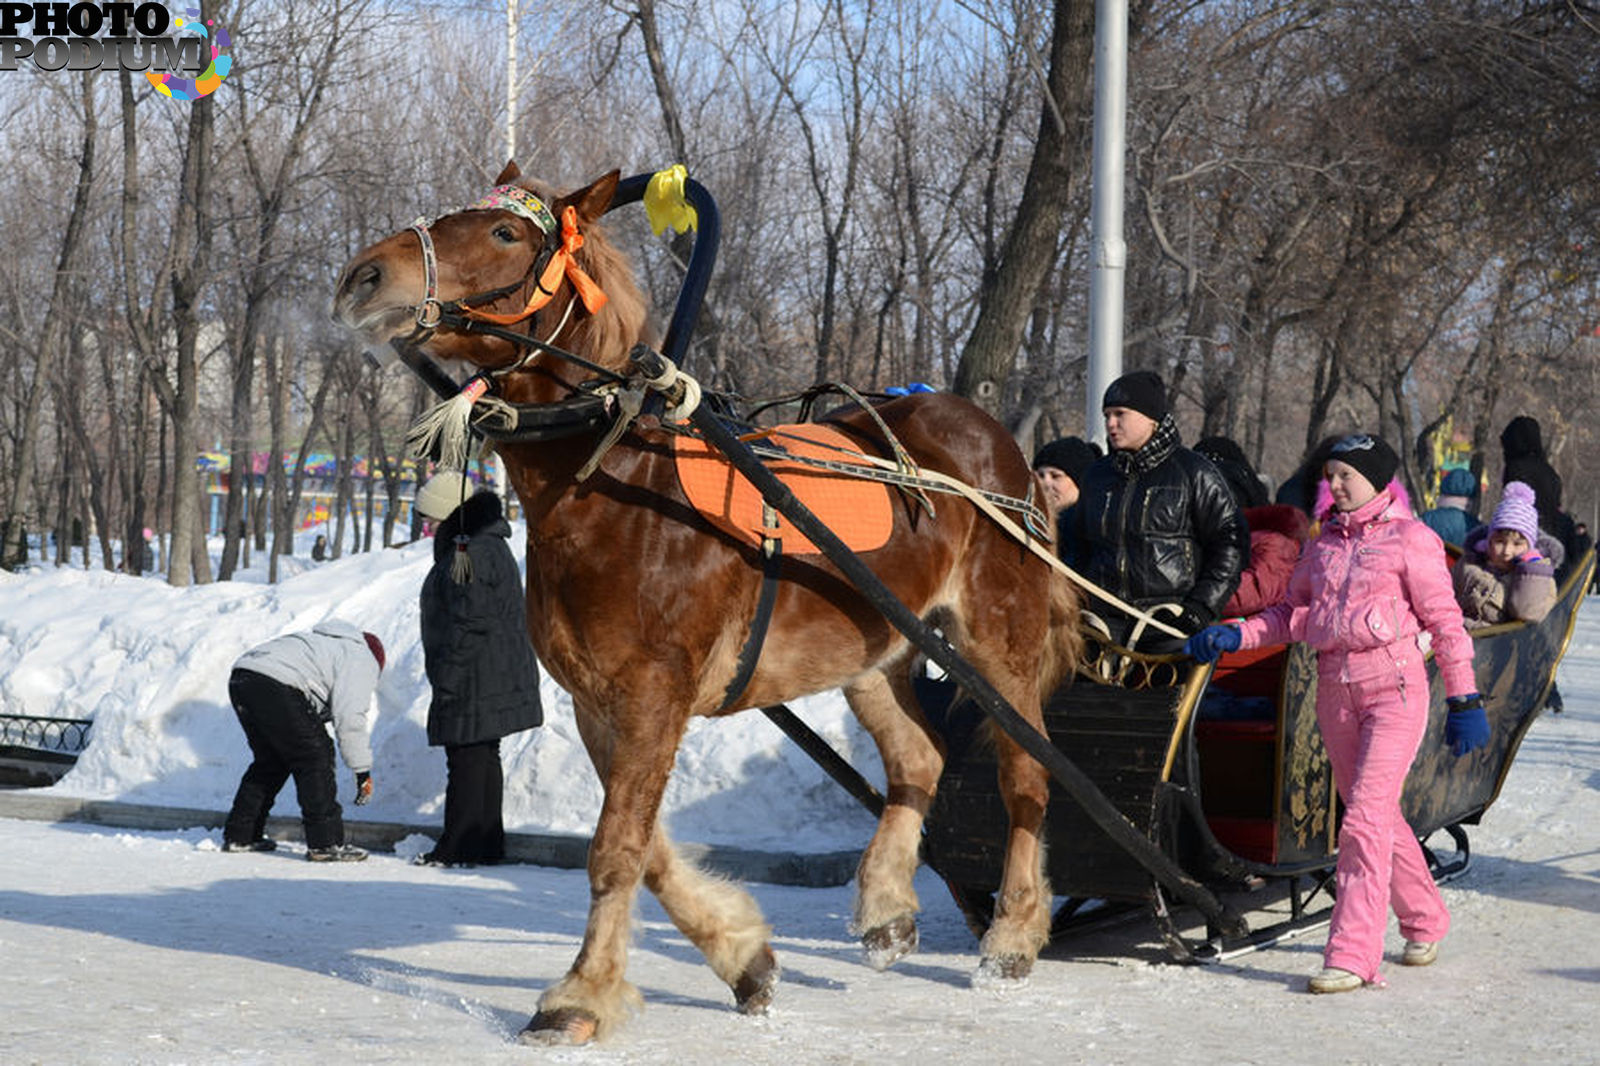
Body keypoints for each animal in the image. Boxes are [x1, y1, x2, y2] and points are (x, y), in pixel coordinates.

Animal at [331, 164, 1081, 1037]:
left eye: (506, 233)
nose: (364, 276)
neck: (618, 482)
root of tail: (995, 442)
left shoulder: (654, 692)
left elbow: (617, 847)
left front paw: (581, 993)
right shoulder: (600, 702)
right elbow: (644, 846)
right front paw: (743, 957)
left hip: (998, 643)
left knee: (1027, 776)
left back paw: (1014, 933)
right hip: (873, 653)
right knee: (919, 759)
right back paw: (888, 906)